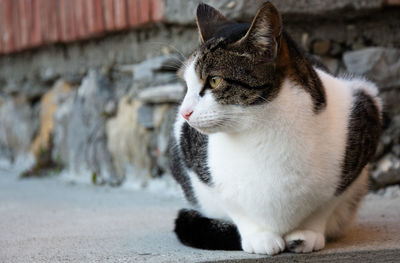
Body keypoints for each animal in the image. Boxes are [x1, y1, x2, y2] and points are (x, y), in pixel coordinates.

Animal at [168, 1, 382, 256]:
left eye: (214, 80)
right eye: (187, 85)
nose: (184, 112)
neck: (261, 128)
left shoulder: (365, 111)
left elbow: (325, 204)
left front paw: (307, 233)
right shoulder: (189, 150)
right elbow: (232, 202)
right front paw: (258, 236)